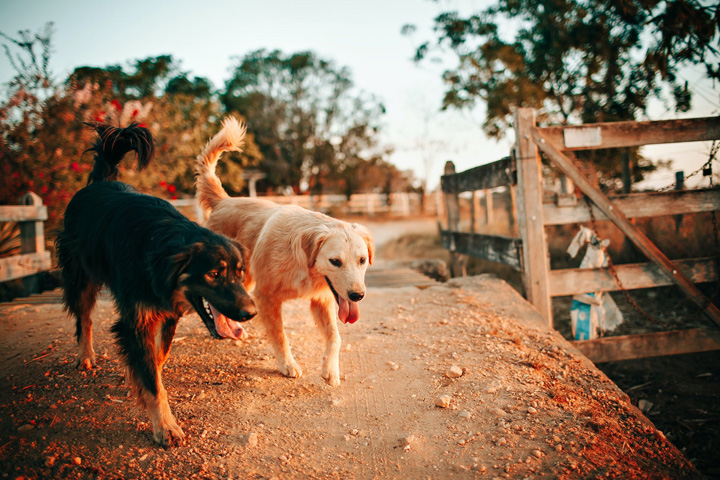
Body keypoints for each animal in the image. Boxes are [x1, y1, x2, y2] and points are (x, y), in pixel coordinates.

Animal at [57, 124, 258, 446]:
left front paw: (139, 380)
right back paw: (85, 356)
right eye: (214, 274)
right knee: (84, 318)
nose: (251, 313)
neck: (160, 248)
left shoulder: (168, 313)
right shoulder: (135, 320)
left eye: (240, 273)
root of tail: (98, 183)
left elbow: (157, 360)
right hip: (81, 276)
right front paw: (165, 425)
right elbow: (152, 379)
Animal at [194, 119, 374, 386]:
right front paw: (287, 364)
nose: (357, 296)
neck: (303, 265)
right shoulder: (266, 297)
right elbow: (280, 335)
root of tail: (224, 201)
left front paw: (330, 370)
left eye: (362, 260)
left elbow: (335, 337)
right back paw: (223, 329)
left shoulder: (321, 300)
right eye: (335, 261)